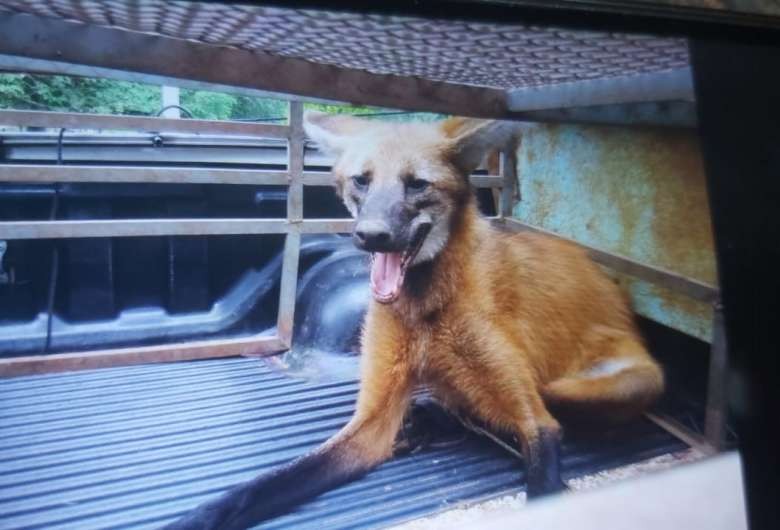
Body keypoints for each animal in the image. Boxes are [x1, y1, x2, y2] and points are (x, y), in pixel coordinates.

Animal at [165, 113, 664, 529]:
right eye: (362, 181)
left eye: (416, 184)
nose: (371, 236)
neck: (422, 313)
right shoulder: (371, 423)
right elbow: (262, 485)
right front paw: (198, 516)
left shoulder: (535, 420)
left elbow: (541, 470)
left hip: (604, 384)